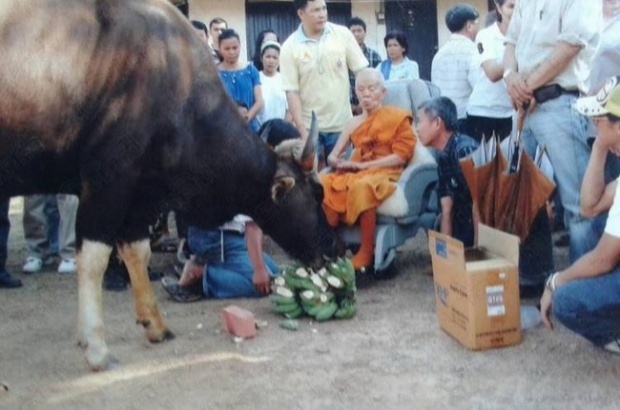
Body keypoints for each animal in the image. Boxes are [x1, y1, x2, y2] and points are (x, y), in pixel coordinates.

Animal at [0, 0, 336, 372]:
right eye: (314, 196)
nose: (334, 250)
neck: (175, 75)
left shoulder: (140, 192)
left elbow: (136, 251)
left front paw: (155, 324)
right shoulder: (107, 180)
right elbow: (94, 259)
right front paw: (96, 345)